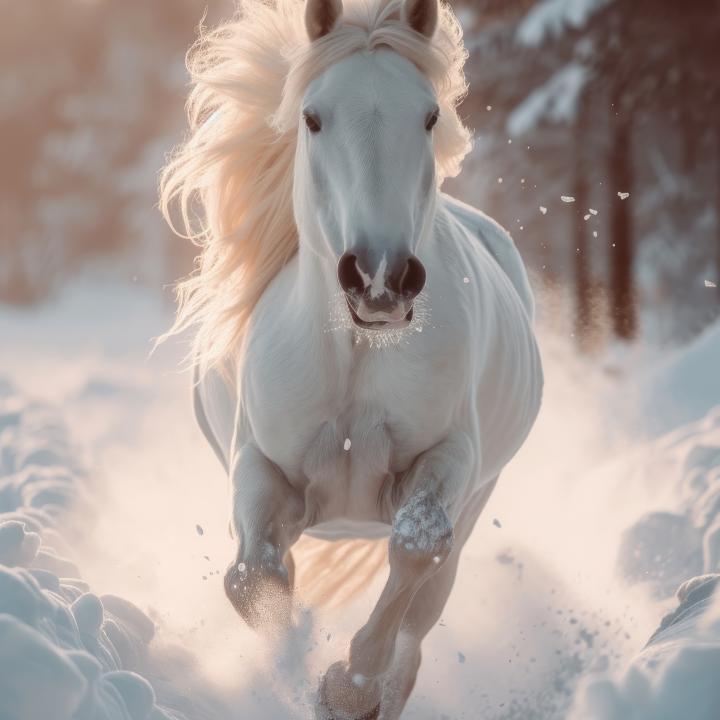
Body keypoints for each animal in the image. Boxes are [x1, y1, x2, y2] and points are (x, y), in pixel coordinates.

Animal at [159, 0, 543, 716]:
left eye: (430, 115)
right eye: (313, 117)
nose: (380, 277)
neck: (356, 356)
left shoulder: (449, 458)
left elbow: (416, 549)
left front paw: (346, 689)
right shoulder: (258, 464)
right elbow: (253, 579)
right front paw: (293, 671)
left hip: (477, 502)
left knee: (420, 621)